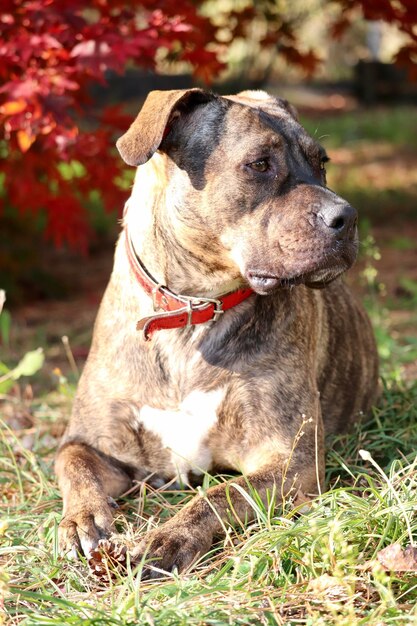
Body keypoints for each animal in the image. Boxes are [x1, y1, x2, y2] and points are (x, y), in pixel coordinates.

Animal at [54, 88, 376, 576]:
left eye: (322, 161)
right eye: (259, 164)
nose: (348, 217)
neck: (192, 313)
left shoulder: (290, 459)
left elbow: (219, 494)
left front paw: (167, 538)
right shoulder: (91, 442)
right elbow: (75, 466)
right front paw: (81, 520)